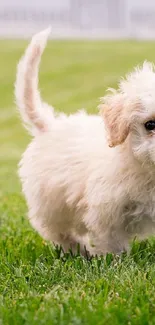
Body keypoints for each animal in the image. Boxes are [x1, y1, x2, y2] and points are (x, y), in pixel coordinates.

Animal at [14, 28, 155, 256]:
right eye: (150, 125)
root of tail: (51, 125)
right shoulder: (106, 212)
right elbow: (112, 245)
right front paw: (115, 262)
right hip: (51, 205)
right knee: (58, 232)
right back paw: (78, 251)